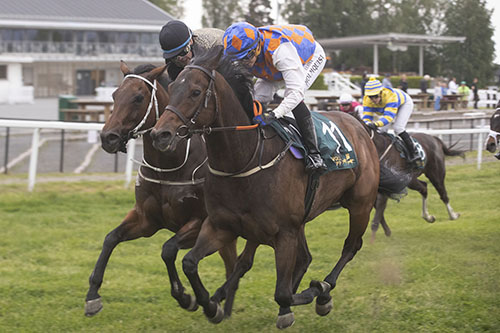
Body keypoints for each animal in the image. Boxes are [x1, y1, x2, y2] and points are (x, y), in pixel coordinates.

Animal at [85, 60, 237, 316]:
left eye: (138, 97)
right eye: (115, 95)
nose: (108, 137)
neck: (168, 166)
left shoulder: (200, 221)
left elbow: (168, 249)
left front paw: (187, 297)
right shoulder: (147, 220)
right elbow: (110, 238)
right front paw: (92, 295)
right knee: (232, 261)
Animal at [148, 46, 382, 326]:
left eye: (195, 91)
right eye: (172, 87)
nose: (160, 134)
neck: (242, 161)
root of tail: (359, 125)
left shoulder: (284, 232)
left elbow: (282, 292)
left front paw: (315, 293)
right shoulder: (221, 226)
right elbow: (190, 262)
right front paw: (209, 304)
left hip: (360, 205)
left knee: (350, 246)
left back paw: (324, 289)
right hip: (296, 222)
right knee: (299, 259)